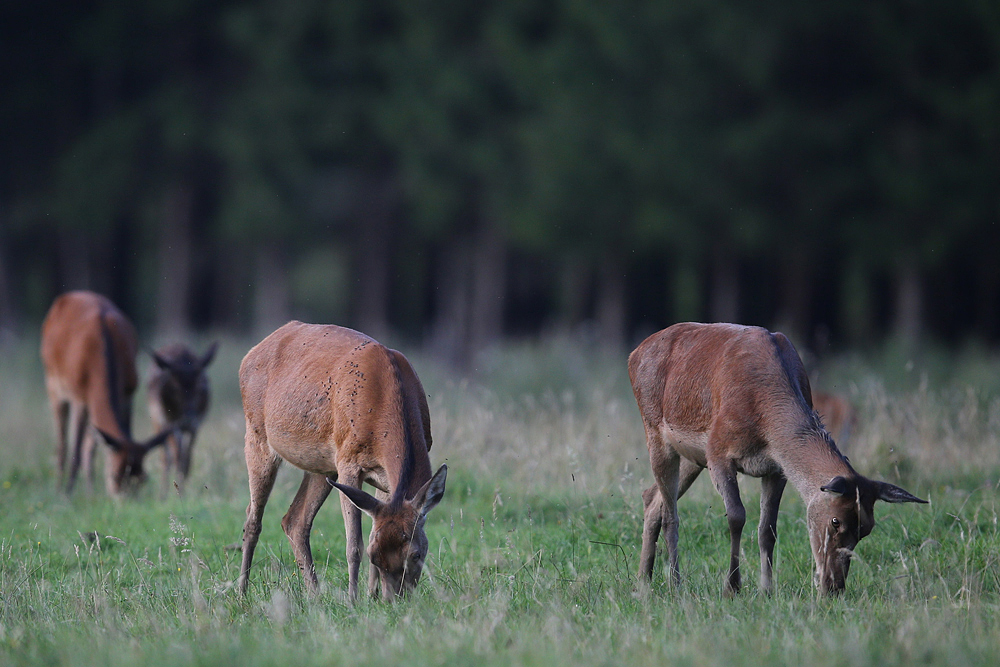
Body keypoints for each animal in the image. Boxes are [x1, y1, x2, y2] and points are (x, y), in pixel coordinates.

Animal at [39, 290, 170, 496]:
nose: (128, 502)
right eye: (115, 475)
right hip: (52, 383)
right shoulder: (80, 397)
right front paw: (67, 496)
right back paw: (59, 490)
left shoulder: (128, 393)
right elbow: (75, 453)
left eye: (143, 478)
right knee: (62, 446)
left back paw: (90, 493)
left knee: (88, 446)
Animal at [147, 344, 218, 490]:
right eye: (175, 389)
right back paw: (163, 492)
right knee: (165, 458)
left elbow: (187, 460)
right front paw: (178, 491)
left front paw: (184, 490)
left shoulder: (196, 425)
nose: (189, 416)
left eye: (200, 387)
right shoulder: (171, 423)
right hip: (158, 422)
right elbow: (177, 458)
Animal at [236, 320, 448, 604]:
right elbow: (354, 544)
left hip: (322, 466)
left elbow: (371, 528)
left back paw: (314, 594)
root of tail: (250, 354)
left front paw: (371, 595)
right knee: (253, 518)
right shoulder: (349, 462)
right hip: (257, 435)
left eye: (416, 554)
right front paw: (353, 599)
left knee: (295, 520)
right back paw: (241, 591)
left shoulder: (384, 480)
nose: (394, 600)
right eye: (374, 555)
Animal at [628, 322, 924, 596]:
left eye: (867, 528)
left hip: (693, 457)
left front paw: (767, 590)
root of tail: (634, 353)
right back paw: (674, 584)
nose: (834, 587)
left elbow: (767, 528)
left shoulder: (777, 468)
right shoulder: (718, 450)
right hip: (656, 431)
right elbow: (736, 516)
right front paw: (732, 587)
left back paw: (643, 581)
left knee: (651, 498)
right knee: (670, 514)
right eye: (835, 521)